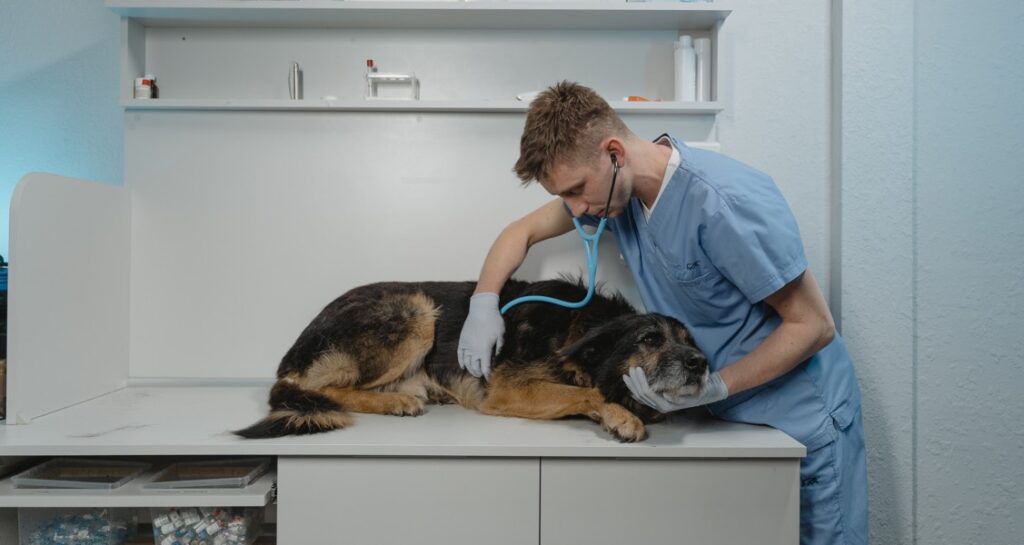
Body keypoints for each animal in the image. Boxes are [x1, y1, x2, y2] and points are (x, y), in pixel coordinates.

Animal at [234, 278, 708, 440]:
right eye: (650, 338)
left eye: (690, 340)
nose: (701, 363)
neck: (579, 327)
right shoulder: (509, 391)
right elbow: (590, 393)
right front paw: (621, 416)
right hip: (417, 307)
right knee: (322, 388)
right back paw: (395, 401)